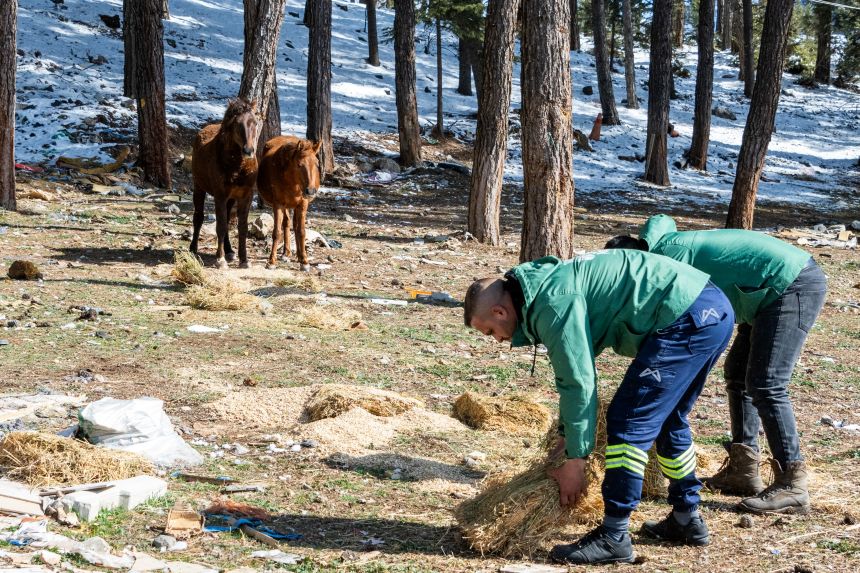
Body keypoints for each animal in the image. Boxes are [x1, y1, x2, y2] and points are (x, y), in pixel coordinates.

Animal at [193, 98, 260, 268]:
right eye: (237, 124)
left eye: (255, 122)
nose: (248, 150)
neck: (237, 166)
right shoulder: (220, 195)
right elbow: (221, 226)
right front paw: (220, 259)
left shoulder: (246, 196)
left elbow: (242, 227)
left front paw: (244, 260)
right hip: (198, 186)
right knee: (198, 217)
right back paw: (193, 248)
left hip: (231, 198)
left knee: (229, 219)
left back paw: (230, 250)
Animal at [256, 135, 324, 272]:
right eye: (299, 164)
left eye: (317, 163)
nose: (310, 191)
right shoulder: (278, 205)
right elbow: (277, 232)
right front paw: (271, 262)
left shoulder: (303, 204)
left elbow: (301, 231)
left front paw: (304, 261)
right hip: (285, 206)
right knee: (286, 223)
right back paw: (286, 253)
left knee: (294, 225)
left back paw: (298, 255)